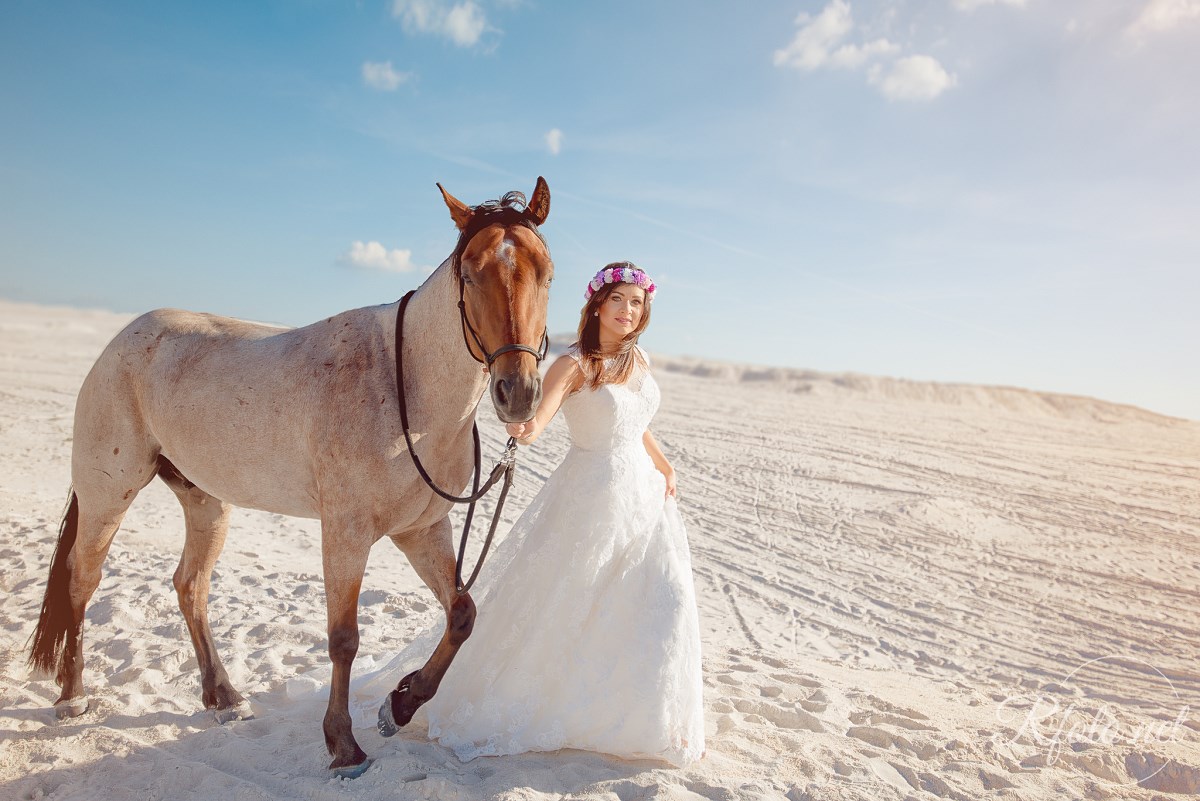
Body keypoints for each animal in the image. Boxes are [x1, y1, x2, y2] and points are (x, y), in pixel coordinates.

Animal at [27, 176, 552, 777]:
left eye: (546, 271)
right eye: (469, 273)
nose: (518, 393)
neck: (406, 384)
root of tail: (119, 343)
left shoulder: (422, 531)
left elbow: (462, 614)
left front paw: (400, 705)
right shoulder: (346, 533)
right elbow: (344, 639)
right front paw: (343, 746)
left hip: (206, 503)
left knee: (191, 587)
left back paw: (223, 697)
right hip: (107, 495)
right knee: (81, 579)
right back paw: (72, 696)